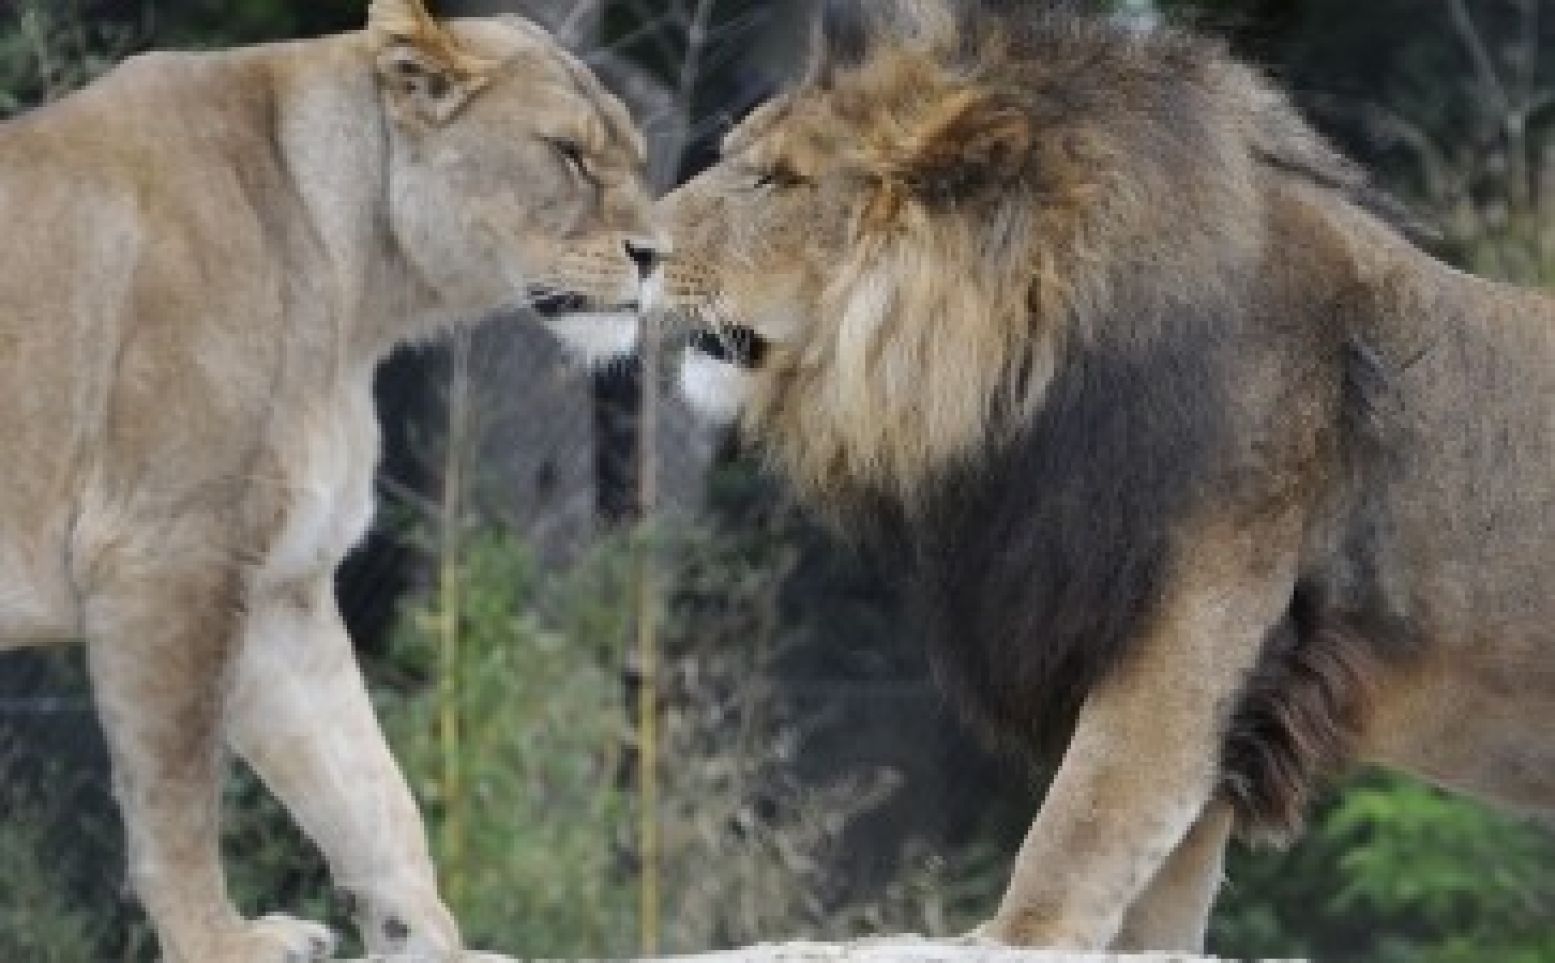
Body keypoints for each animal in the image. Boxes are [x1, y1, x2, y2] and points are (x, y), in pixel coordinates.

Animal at [0, 1, 659, 963]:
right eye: (568, 153)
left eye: (637, 157)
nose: (657, 253)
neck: (361, 292)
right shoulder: (165, 555)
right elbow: (176, 793)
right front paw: (221, 943)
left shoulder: (281, 585)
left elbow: (368, 789)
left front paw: (431, 942)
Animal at [656, 0, 1555, 952]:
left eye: (777, 180)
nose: (634, 247)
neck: (1038, 360)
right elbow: (1164, 888)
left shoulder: (1192, 617)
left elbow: (1083, 817)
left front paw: (1011, 935)